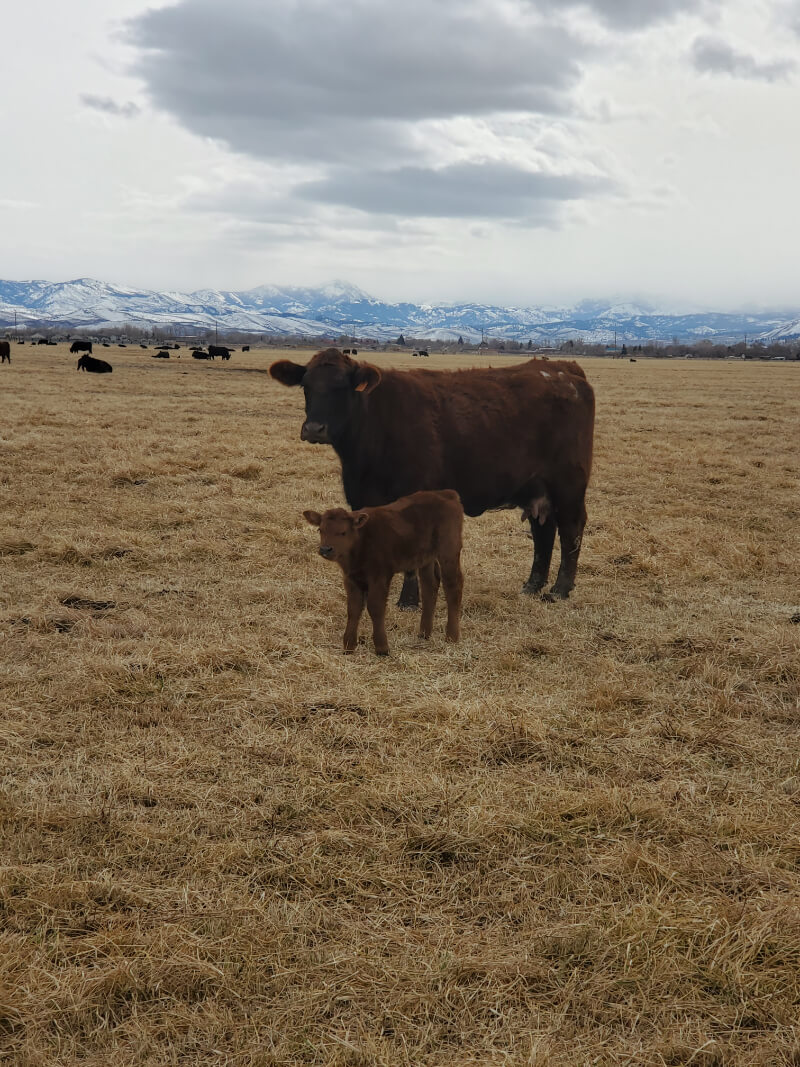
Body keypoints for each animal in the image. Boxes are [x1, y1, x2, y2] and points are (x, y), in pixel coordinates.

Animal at [273, 349, 593, 601]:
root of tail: (563, 369)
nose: (314, 429)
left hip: (569, 485)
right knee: (543, 532)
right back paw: (532, 586)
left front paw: (409, 600)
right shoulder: (362, 498)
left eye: (342, 387)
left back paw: (560, 590)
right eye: (306, 386)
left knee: (571, 529)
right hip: (537, 488)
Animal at [302, 488, 462, 653]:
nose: (325, 549)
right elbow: (353, 609)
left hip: (449, 551)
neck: (361, 542)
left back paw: (452, 636)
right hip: (425, 558)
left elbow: (375, 607)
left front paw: (382, 647)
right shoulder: (351, 579)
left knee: (453, 586)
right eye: (320, 529)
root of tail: (446, 493)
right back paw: (424, 633)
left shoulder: (379, 576)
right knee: (429, 586)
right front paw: (349, 646)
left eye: (343, 532)